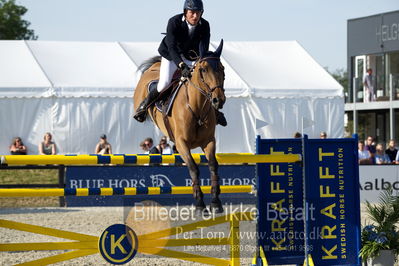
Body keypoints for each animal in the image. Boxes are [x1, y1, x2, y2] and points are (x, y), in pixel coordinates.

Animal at [134, 40, 227, 214]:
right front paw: (199, 204)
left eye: (222, 69)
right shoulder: (182, 144)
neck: (197, 108)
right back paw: (141, 110)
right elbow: (193, 168)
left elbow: (213, 166)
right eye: (203, 69)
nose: (218, 100)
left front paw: (216, 202)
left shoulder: (209, 141)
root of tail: (154, 66)